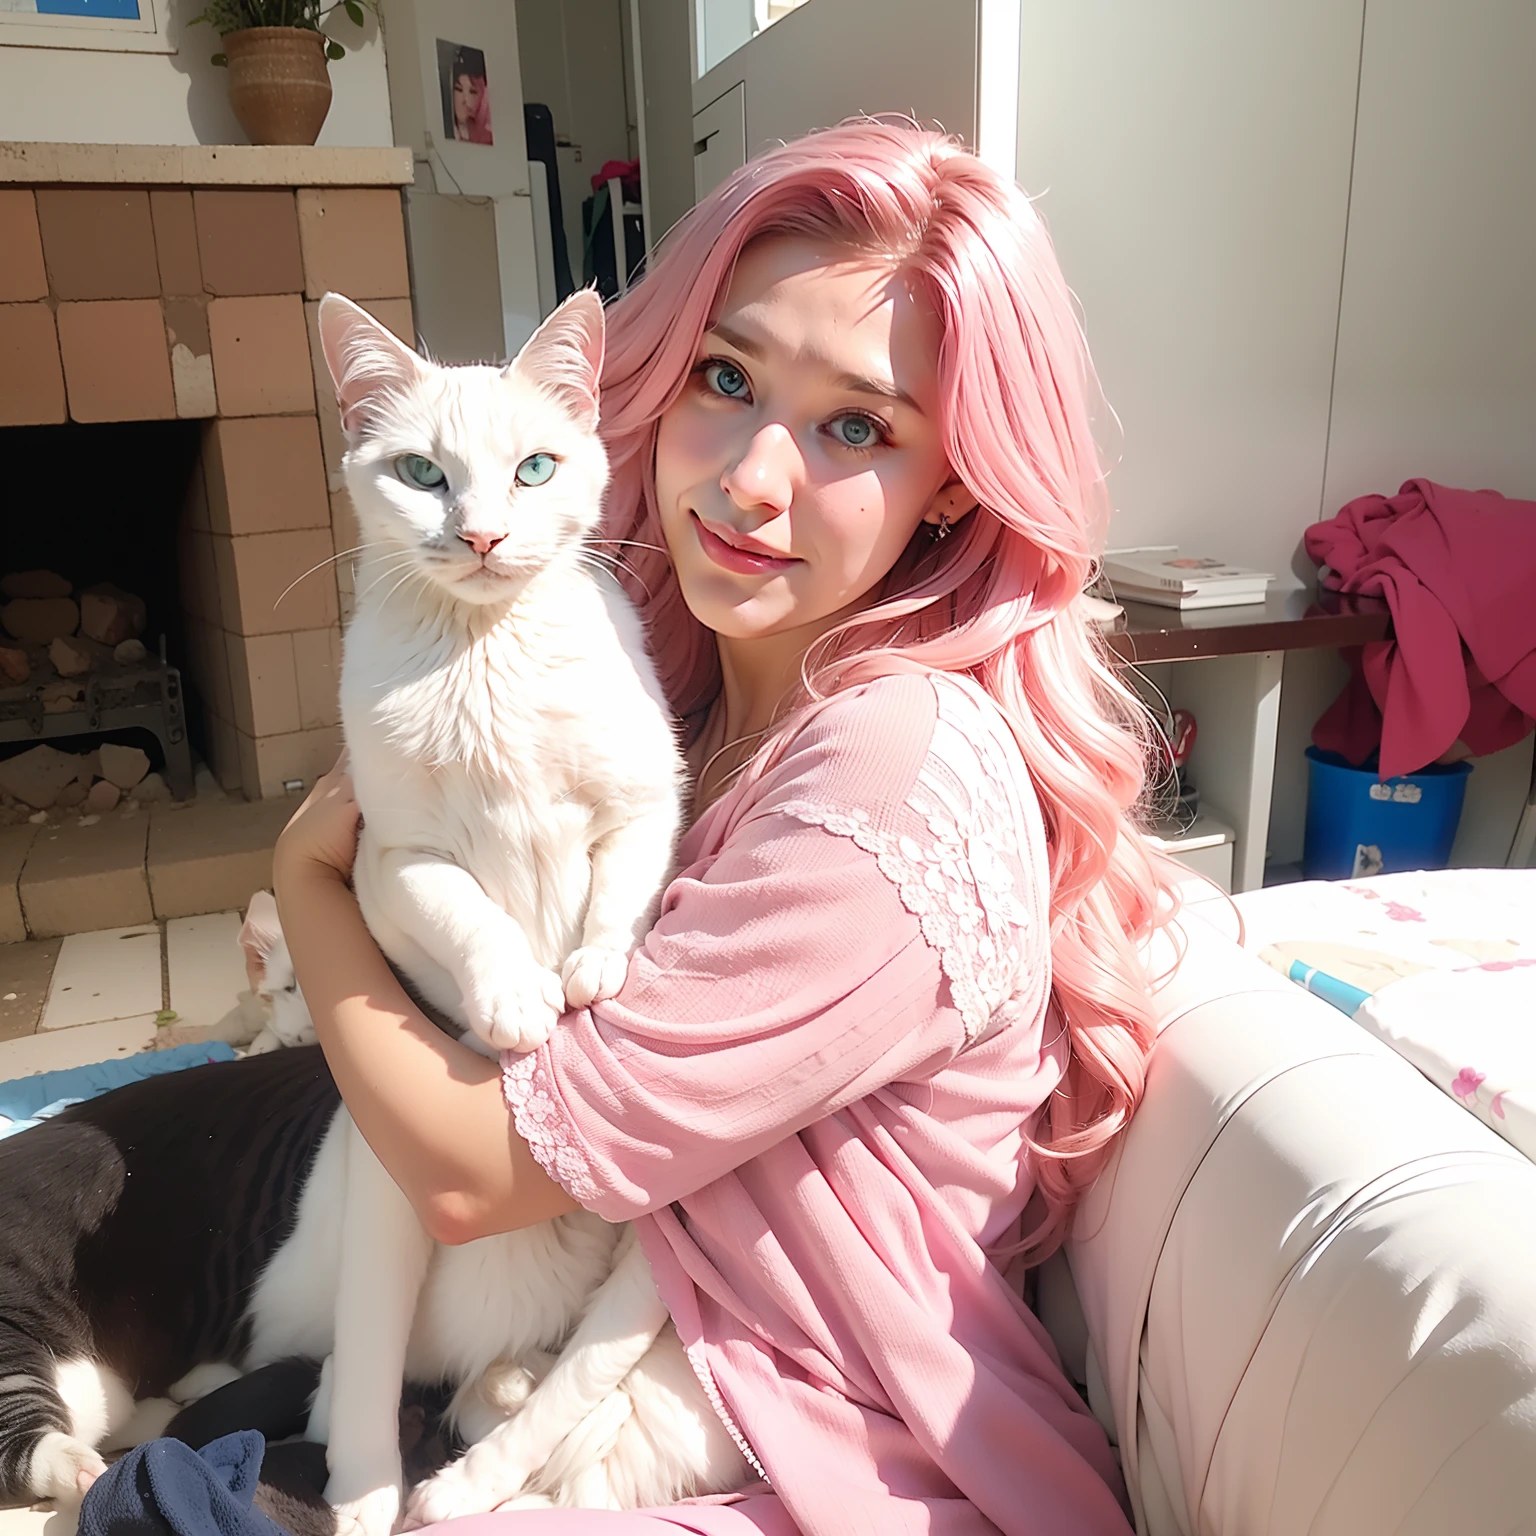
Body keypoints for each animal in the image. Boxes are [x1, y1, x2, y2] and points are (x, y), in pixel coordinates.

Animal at [304, 290, 743, 1536]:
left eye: (535, 468)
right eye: (422, 473)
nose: (486, 537)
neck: (482, 657)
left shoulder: (648, 799)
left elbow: (622, 880)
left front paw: (594, 967)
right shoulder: (388, 860)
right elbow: (466, 909)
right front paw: (515, 998)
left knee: (554, 1383)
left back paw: (482, 1439)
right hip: (385, 1200)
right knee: (358, 1383)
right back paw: (374, 1494)